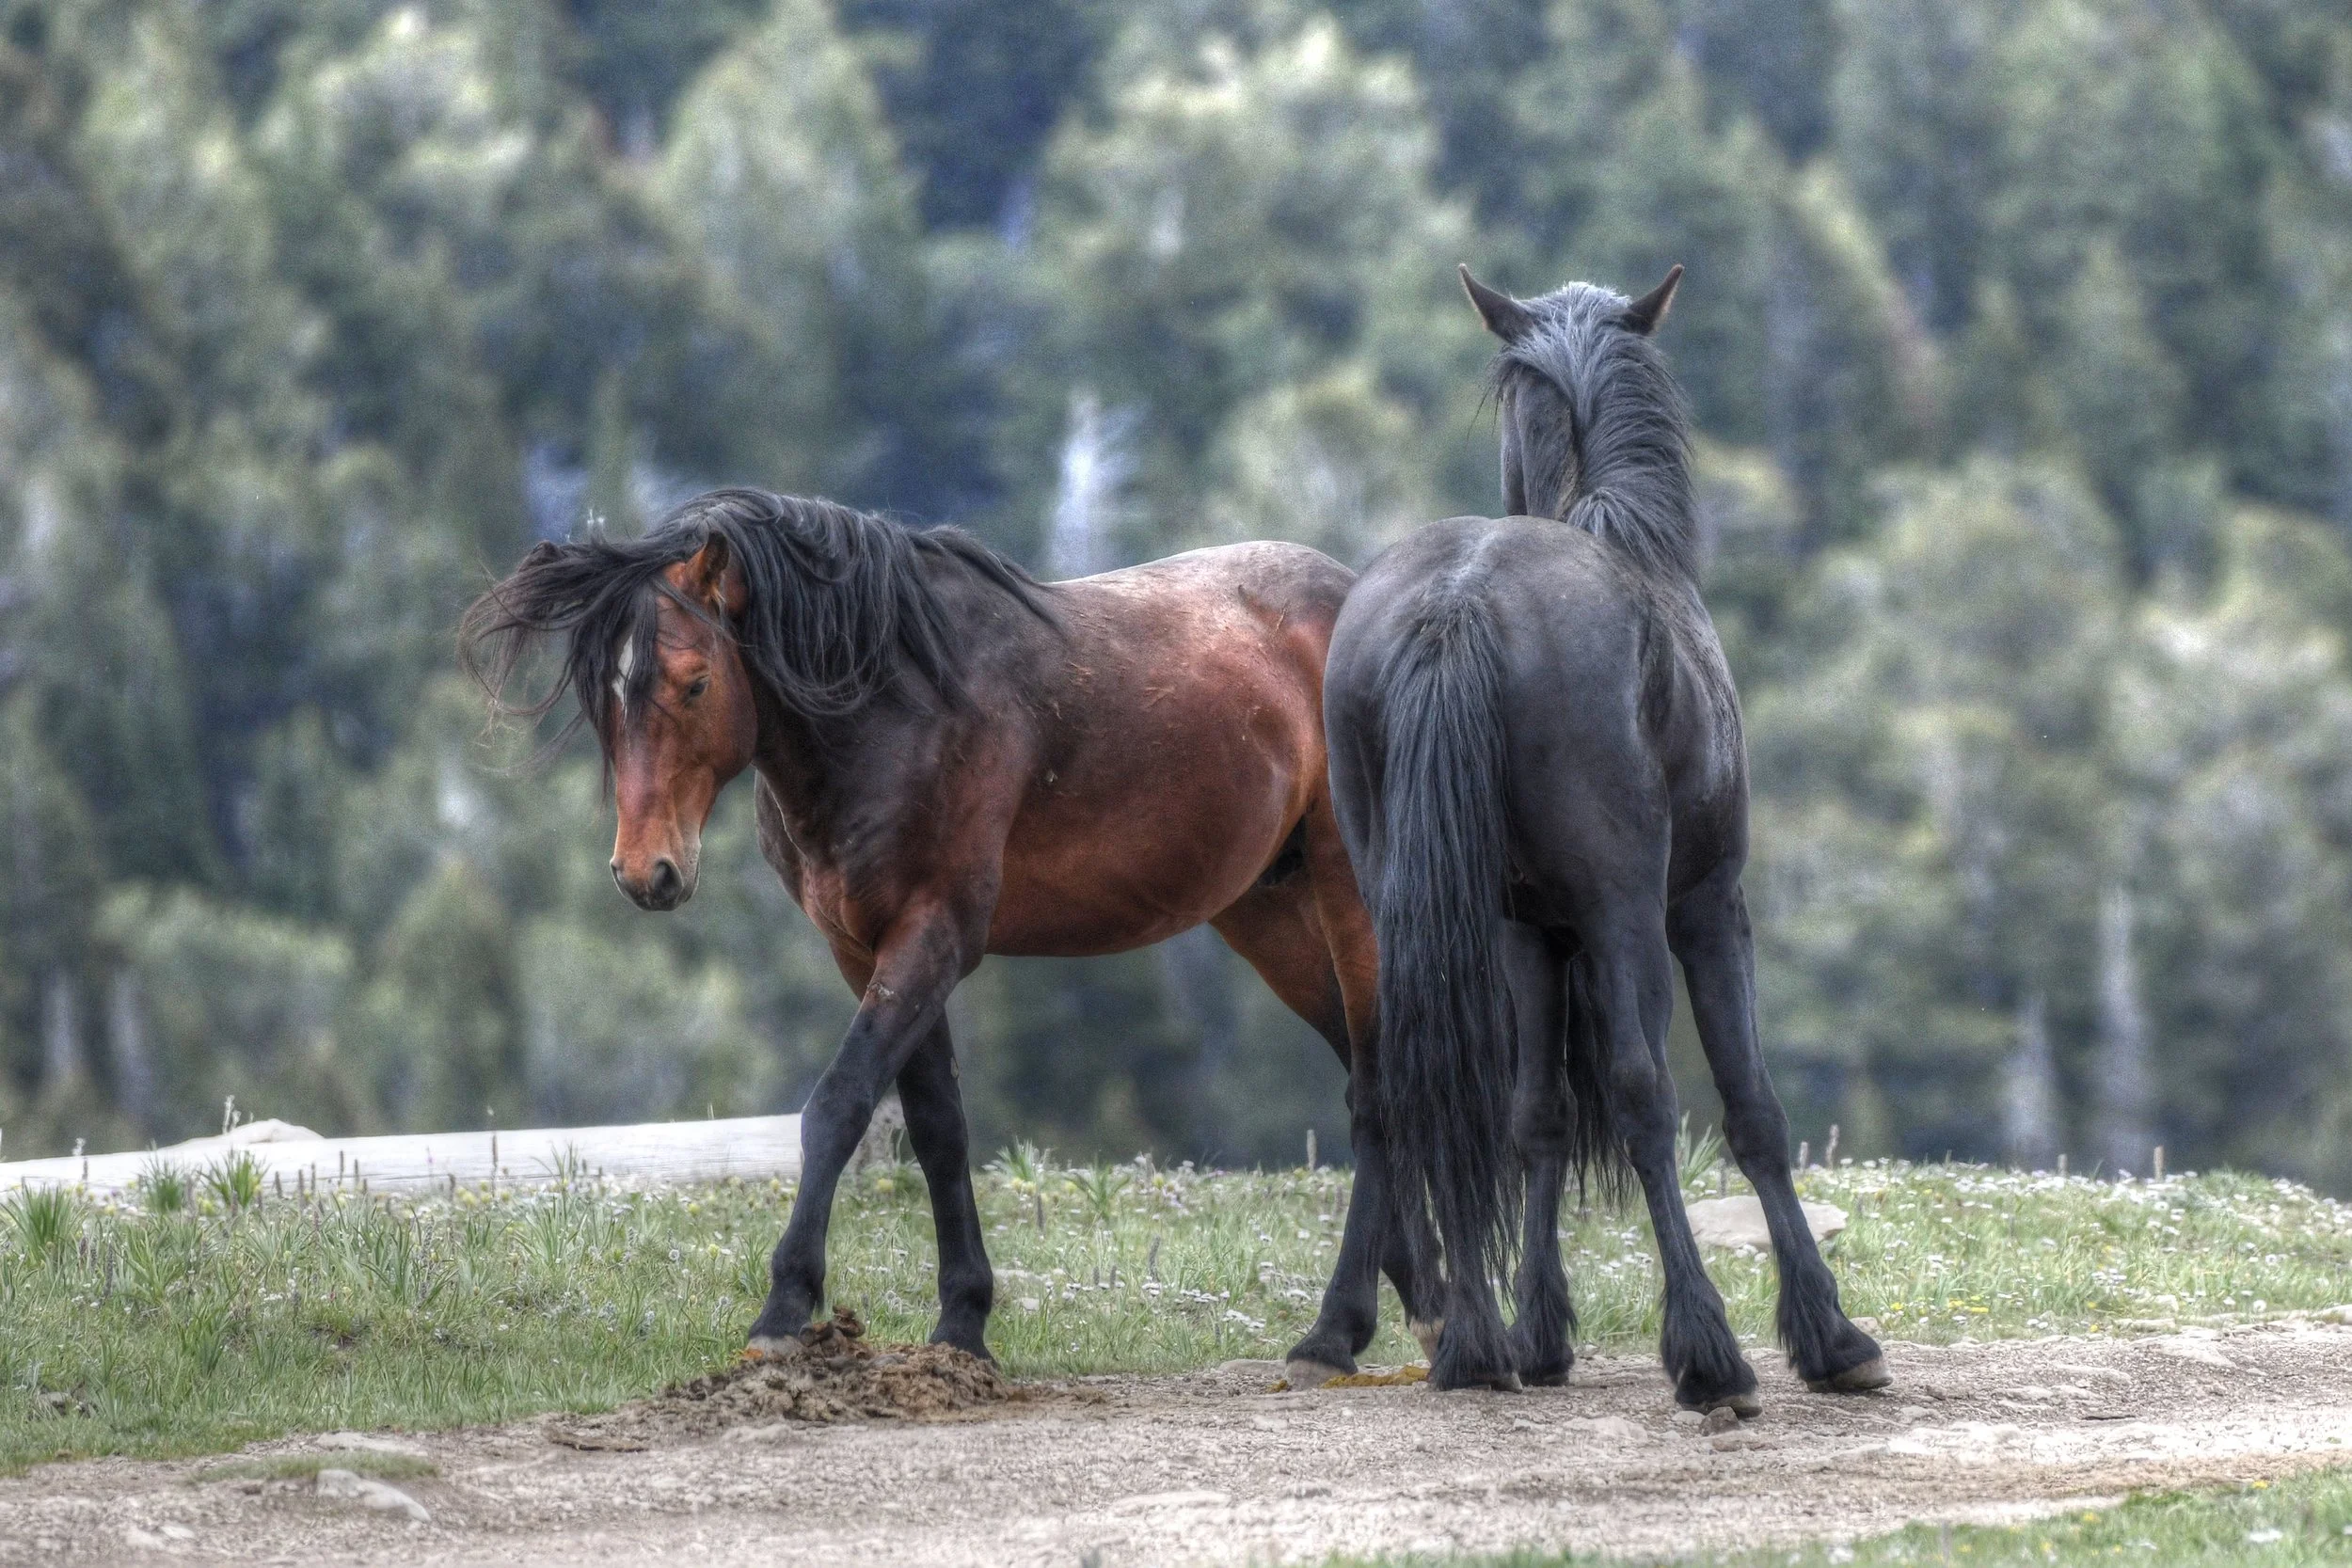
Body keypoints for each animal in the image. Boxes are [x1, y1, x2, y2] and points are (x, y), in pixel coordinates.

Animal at [459, 488, 1439, 1371]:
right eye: (602, 699)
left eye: (694, 680)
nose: (646, 872)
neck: (894, 709)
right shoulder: (865, 948)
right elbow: (937, 1127)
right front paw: (963, 1320)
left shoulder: (934, 935)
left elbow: (840, 1103)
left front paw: (783, 1308)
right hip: (1268, 914)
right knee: (1371, 1075)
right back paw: (1428, 1299)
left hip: (1349, 899)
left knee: (1378, 1090)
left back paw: (1334, 1332)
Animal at [1320, 264, 1889, 1406]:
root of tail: (1458, 602)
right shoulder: (1707, 908)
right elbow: (1749, 1109)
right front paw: (1828, 1334)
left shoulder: (1531, 934)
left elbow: (1535, 1113)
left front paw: (1540, 1334)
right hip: (1631, 909)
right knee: (1644, 1093)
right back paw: (1711, 1355)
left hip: (1412, 911)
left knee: (1429, 1085)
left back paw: (1472, 1344)